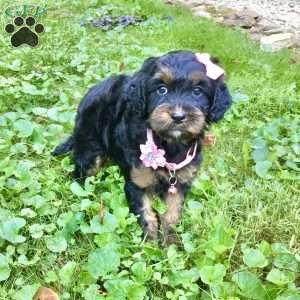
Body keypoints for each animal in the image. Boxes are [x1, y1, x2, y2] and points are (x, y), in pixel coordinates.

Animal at [52, 50, 232, 245]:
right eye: (162, 89)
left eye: (197, 91)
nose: (178, 116)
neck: (168, 144)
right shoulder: (138, 181)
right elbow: (146, 215)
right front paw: (150, 244)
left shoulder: (180, 182)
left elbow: (173, 214)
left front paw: (170, 244)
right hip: (89, 146)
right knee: (82, 172)